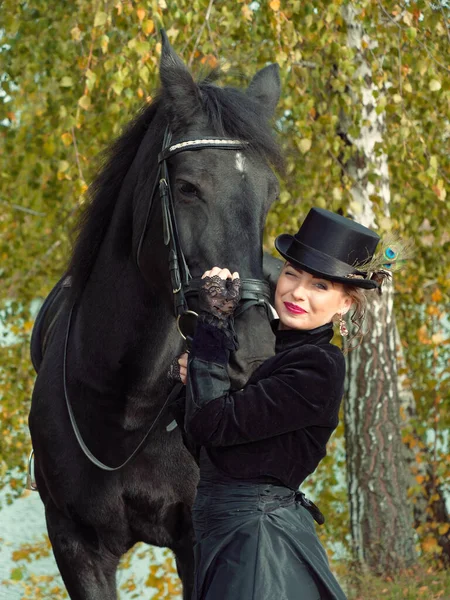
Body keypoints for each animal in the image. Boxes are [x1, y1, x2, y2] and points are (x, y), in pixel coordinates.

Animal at [28, 34, 282, 600]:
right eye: (187, 187)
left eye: (269, 194)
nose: (253, 352)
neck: (124, 403)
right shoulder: (75, 545)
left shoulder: (199, 538)